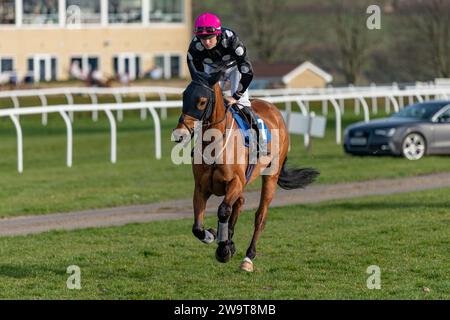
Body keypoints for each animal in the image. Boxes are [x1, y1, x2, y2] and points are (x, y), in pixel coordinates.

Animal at [172, 65, 320, 272]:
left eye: (202, 101)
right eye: (184, 96)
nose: (179, 134)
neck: (215, 143)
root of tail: (274, 110)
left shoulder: (235, 182)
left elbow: (223, 210)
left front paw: (223, 249)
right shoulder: (201, 187)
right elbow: (197, 228)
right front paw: (213, 236)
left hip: (270, 177)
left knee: (260, 216)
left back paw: (248, 257)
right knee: (240, 202)